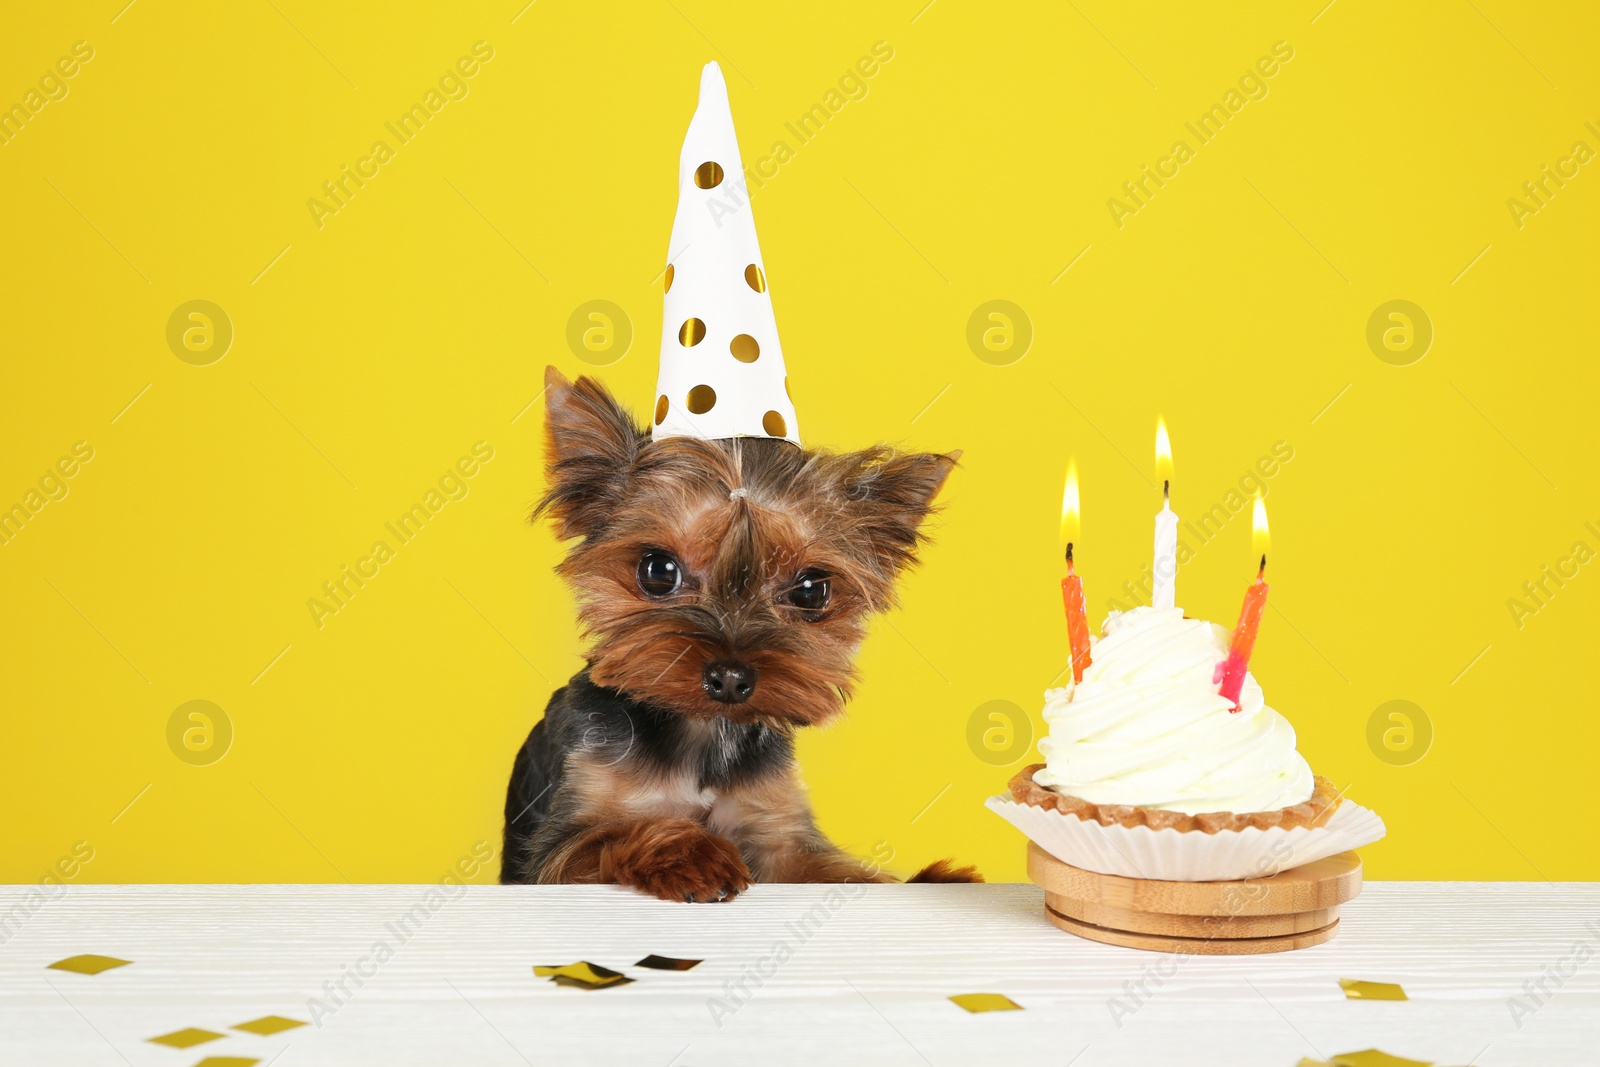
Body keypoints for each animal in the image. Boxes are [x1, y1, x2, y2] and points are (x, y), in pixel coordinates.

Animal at [499, 367, 979, 902]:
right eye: (657, 570)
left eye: (811, 590)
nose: (730, 678)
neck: (702, 734)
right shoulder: (558, 853)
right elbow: (612, 832)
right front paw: (694, 853)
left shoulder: (776, 833)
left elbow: (836, 870)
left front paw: (933, 881)